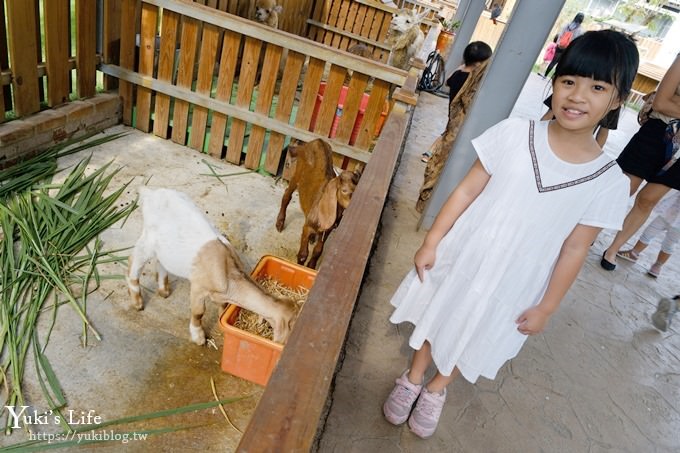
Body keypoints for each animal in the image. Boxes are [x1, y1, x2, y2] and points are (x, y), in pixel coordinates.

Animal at [127, 186, 298, 342]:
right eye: (290, 328)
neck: (228, 273)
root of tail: (150, 193)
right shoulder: (198, 287)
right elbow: (198, 312)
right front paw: (199, 337)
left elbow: (223, 308)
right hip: (148, 239)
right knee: (134, 261)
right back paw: (137, 302)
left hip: (163, 247)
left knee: (160, 260)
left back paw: (163, 291)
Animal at [276, 140, 362, 268]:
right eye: (344, 190)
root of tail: (316, 141)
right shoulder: (307, 227)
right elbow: (303, 254)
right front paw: (300, 267)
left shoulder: (328, 231)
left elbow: (318, 251)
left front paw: (311, 266)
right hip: (298, 172)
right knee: (287, 195)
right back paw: (279, 223)